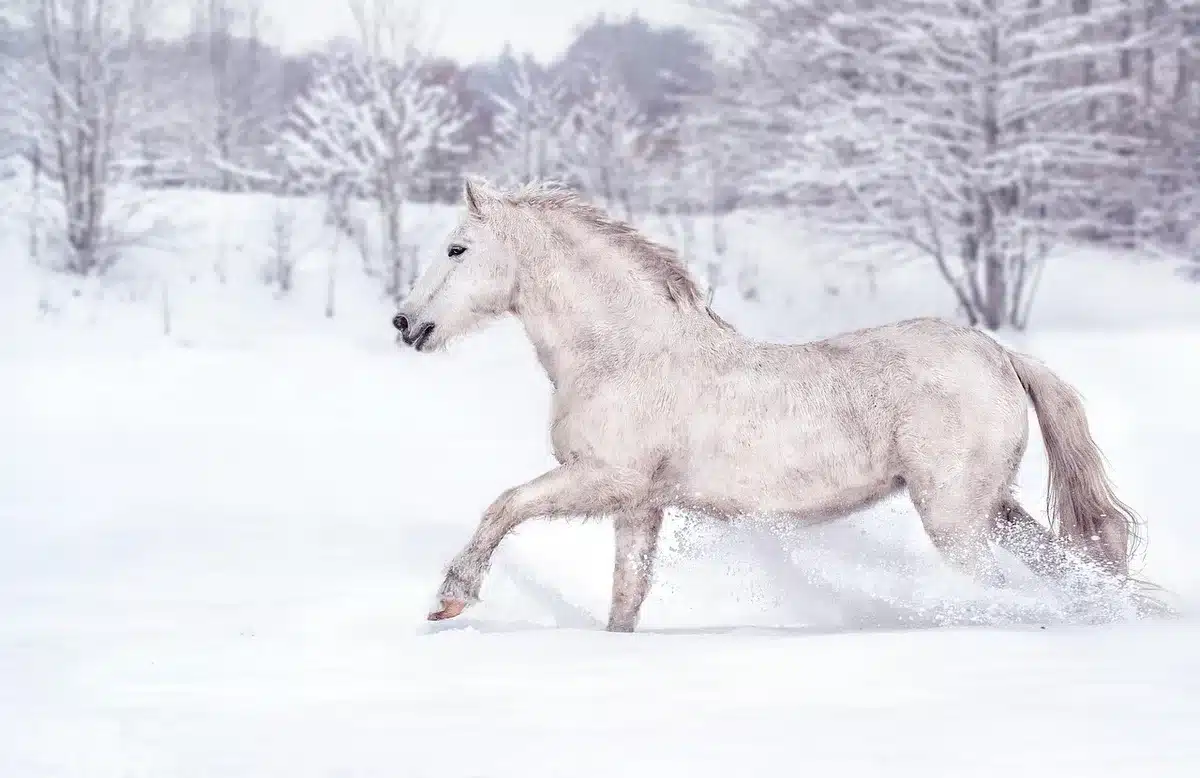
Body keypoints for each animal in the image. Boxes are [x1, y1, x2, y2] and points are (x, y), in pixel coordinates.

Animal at [393, 177, 1150, 632]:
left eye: (457, 248)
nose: (406, 323)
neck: (625, 352)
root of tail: (999, 354)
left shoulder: (602, 479)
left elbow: (503, 506)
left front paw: (451, 597)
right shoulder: (638, 506)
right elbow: (626, 597)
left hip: (957, 517)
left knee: (992, 588)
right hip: (994, 508)